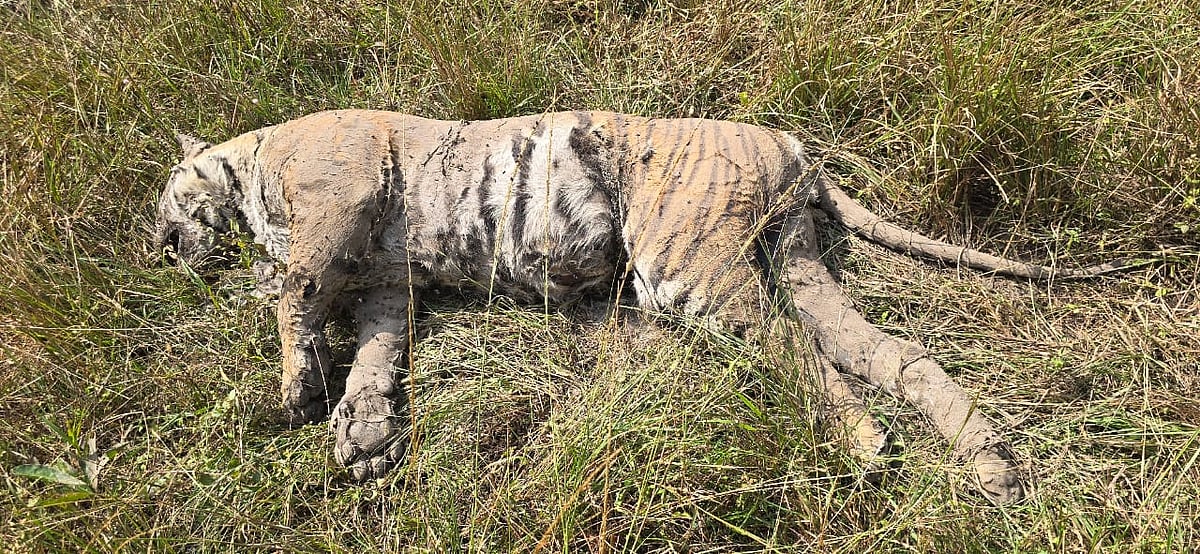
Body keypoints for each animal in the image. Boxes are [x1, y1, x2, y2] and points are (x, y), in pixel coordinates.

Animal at [153, 109, 1118, 505]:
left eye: (164, 198)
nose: (158, 246)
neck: (249, 168)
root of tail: (786, 138)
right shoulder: (392, 283)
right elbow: (379, 352)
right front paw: (363, 433)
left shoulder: (340, 200)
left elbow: (296, 292)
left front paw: (297, 387)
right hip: (795, 259)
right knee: (893, 354)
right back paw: (992, 468)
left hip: (686, 265)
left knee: (799, 357)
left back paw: (863, 443)